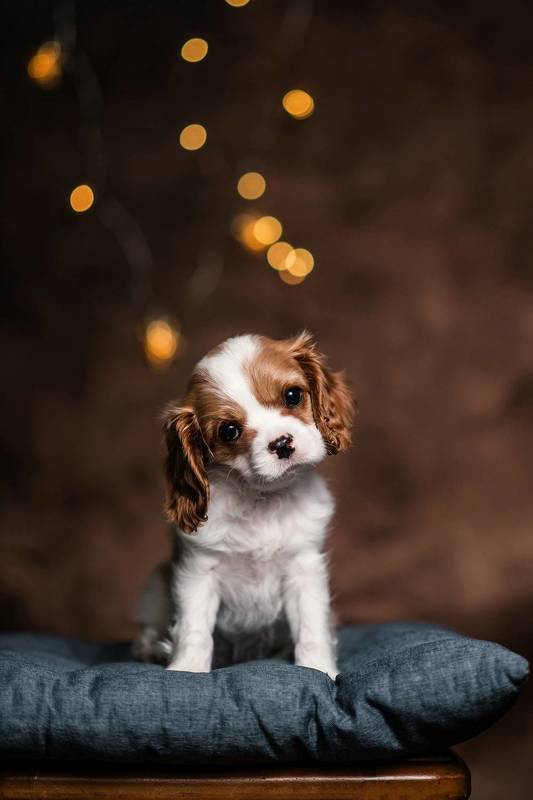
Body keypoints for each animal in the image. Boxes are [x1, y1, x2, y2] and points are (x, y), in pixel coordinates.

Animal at [134, 332, 354, 679]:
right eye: (229, 431)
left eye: (293, 395)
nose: (281, 444)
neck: (260, 497)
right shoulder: (199, 571)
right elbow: (194, 629)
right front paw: (188, 669)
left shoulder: (303, 568)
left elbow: (311, 627)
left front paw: (318, 668)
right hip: (155, 586)